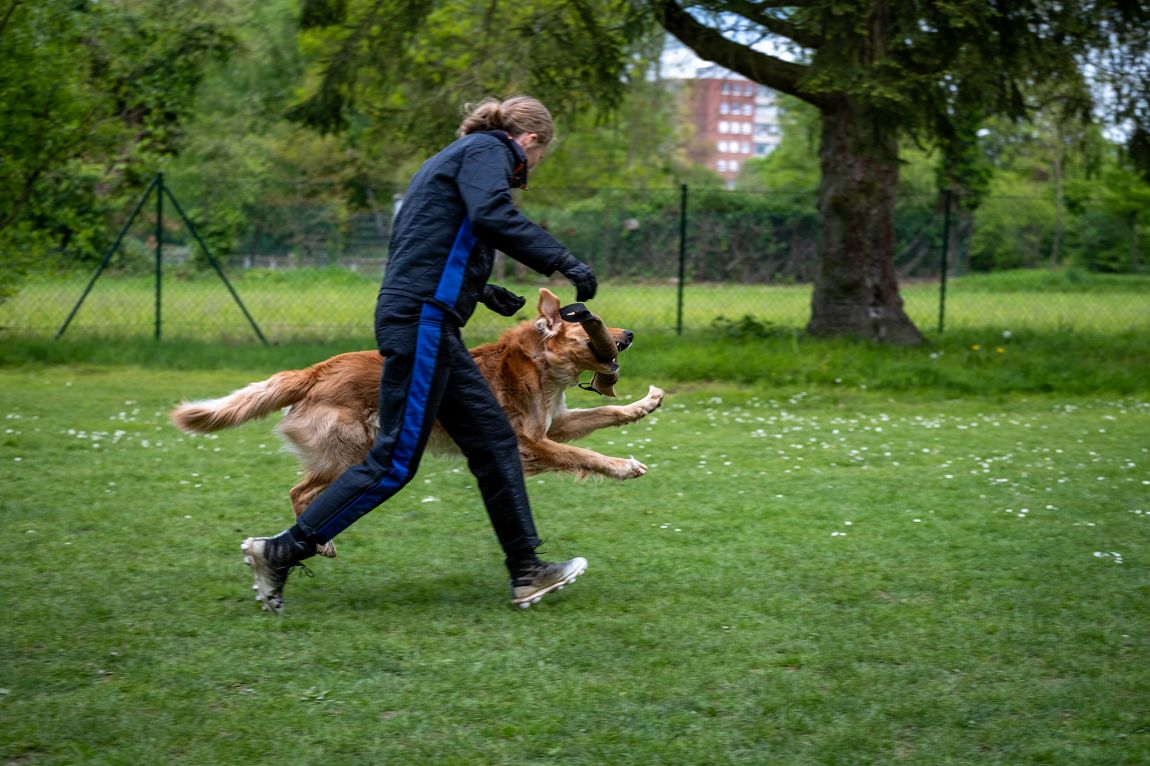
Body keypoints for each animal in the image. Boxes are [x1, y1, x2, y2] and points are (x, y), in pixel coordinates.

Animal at [170, 287, 667, 554]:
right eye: (589, 323)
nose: (629, 334)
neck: (539, 366)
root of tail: (316, 370)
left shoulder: (555, 424)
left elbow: (605, 414)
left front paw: (644, 404)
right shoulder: (529, 443)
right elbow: (585, 454)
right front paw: (623, 466)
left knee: (300, 490)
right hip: (354, 453)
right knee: (300, 493)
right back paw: (318, 542)